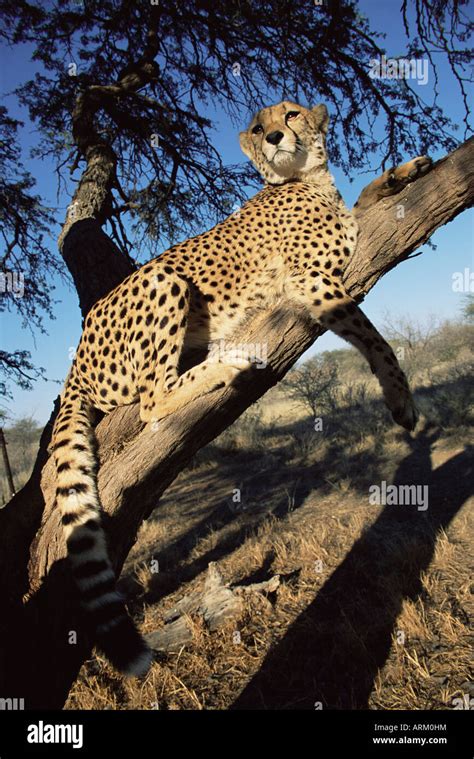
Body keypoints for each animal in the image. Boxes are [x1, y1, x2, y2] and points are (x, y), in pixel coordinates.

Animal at [51, 101, 434, 676]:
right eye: (258, 127)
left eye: (291, 114)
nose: (274, 137)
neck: (307, 179)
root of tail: (73, 360)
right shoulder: (311, 280)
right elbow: (373, 336)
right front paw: (400, 396)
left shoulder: (342, 241)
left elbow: (365, 202)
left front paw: (401, 173)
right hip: (164, 279)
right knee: (151, 402)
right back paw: (225, 362)